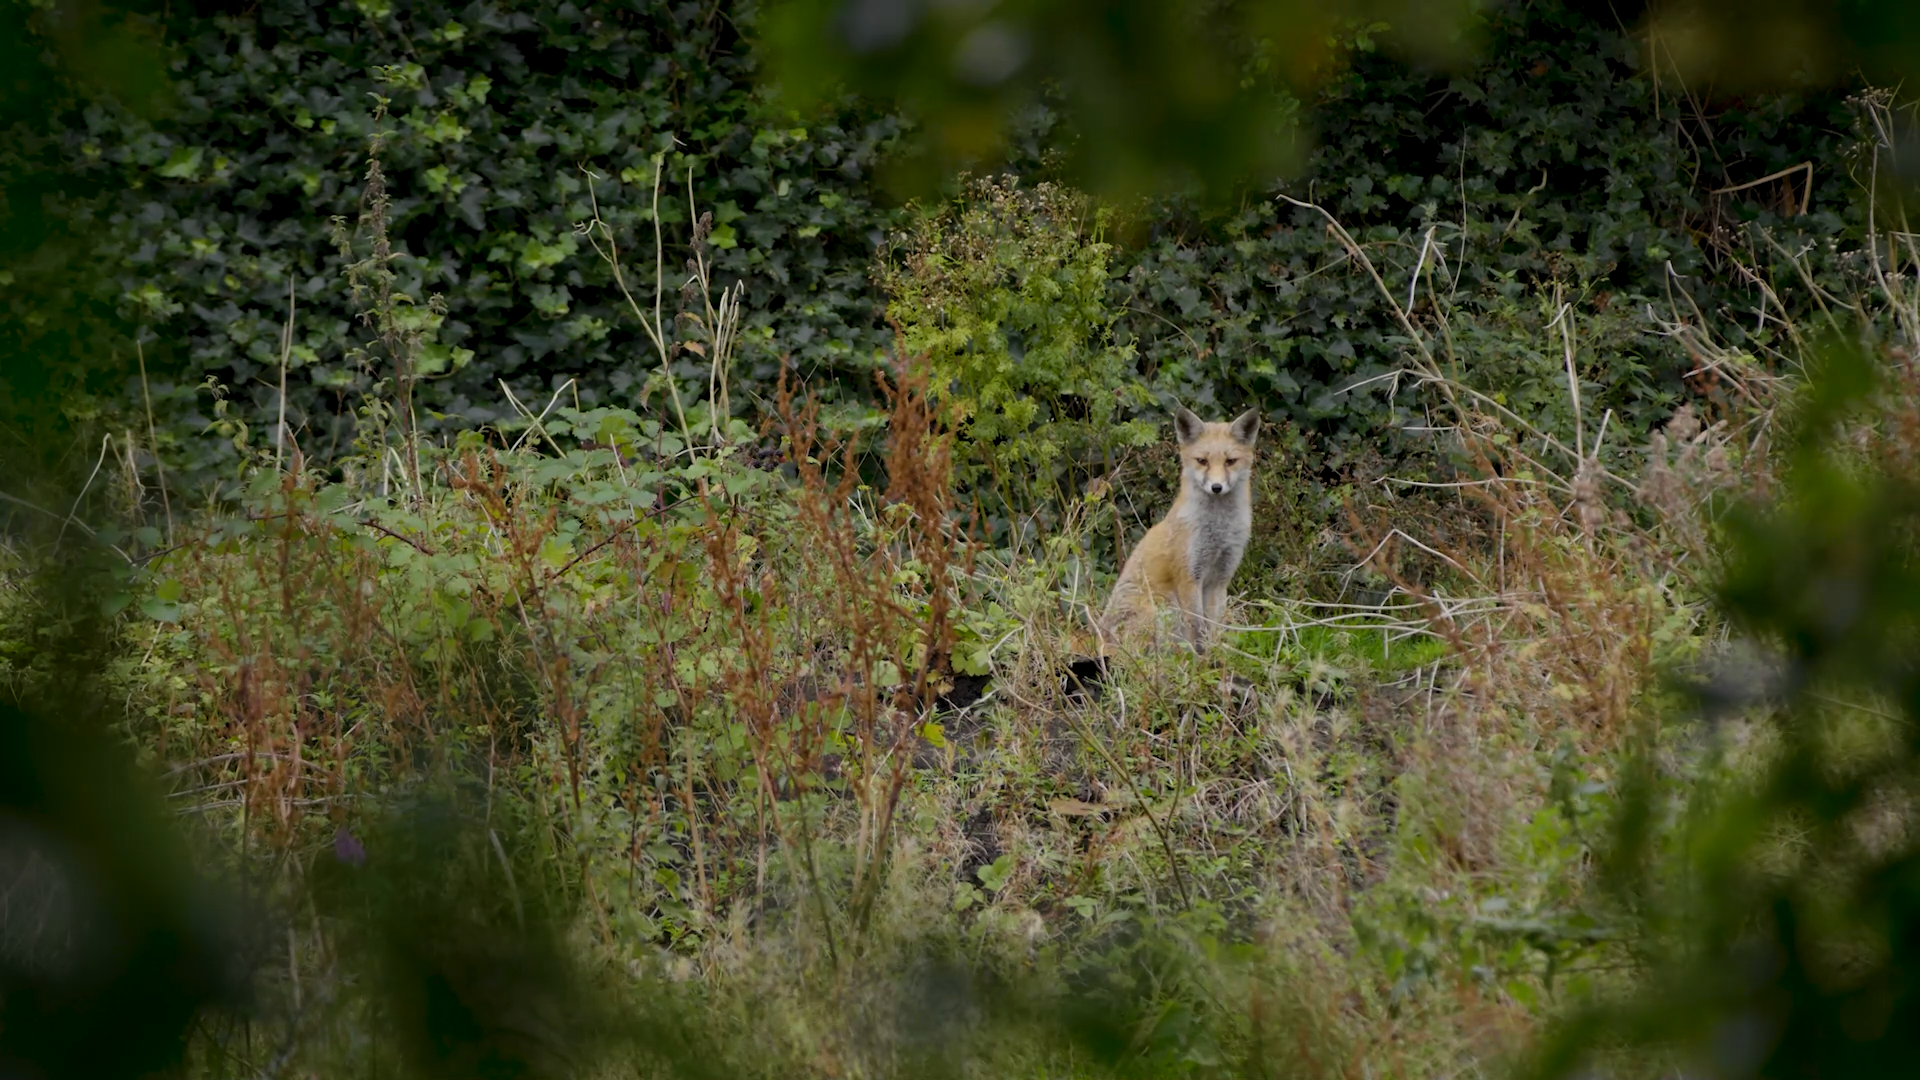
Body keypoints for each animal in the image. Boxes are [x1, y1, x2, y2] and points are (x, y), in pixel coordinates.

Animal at [1101, 406, 1260, 651]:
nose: (1216, 487)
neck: (1218, 531)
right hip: (1163, 609)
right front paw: (1201, 656)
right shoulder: (1189, 576)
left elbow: (1214, 625)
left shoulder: (1220, 578)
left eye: (1230, 461)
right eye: (1202, 461)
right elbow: (1197, 627)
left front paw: (1216, 653)